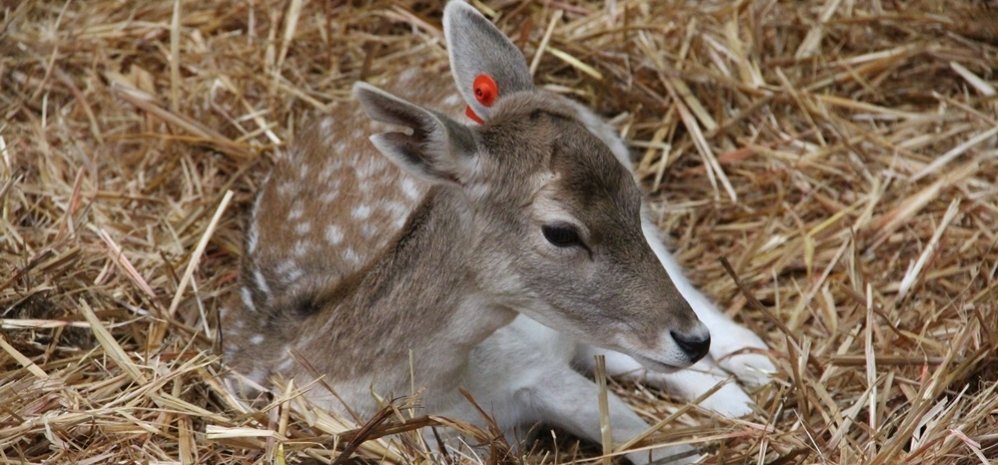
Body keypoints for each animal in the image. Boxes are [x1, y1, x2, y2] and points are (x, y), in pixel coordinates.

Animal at [223, 1, 776, 462]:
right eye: (560, 232)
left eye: (632, 198)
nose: (690, 340)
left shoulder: (534, 368)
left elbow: (662, 449)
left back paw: (756, 369)